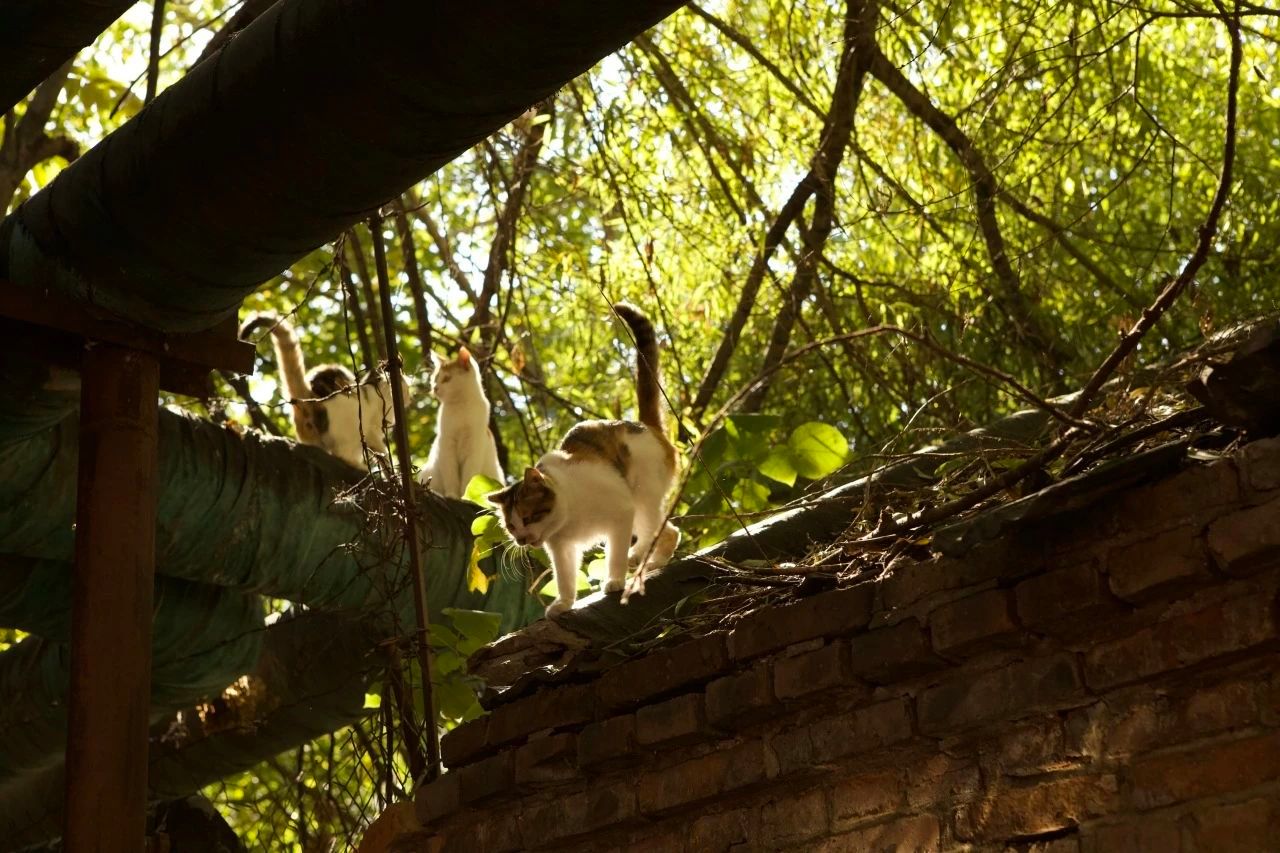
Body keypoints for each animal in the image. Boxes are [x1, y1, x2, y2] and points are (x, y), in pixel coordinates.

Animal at [419, 347, 505, 498]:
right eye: (435, 379)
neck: (460, 406)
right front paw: (452, 494)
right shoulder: (447, 446)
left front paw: (465, 497)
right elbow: (451, 475)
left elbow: (468, 477)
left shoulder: (473, 449)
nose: (435, 388)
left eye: (447, 378)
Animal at [487, 303, 680, 619]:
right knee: (669, 533)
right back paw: (651, 563)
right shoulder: (562, 548)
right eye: (511, 527)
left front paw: (614, 580)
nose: (521, 540)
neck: (569, 516)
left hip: (642, 498)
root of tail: (644, 425)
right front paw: (564, 604)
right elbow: (565, 577)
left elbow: (614, 554)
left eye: (527, 518)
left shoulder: (621, 513)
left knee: (658, 530)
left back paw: (638, 557)